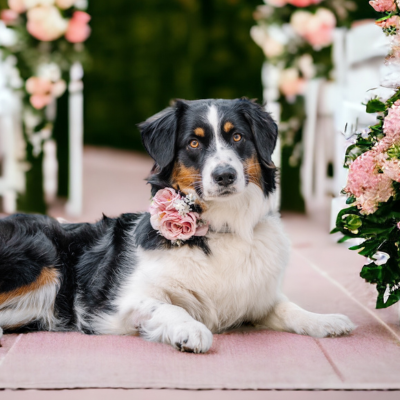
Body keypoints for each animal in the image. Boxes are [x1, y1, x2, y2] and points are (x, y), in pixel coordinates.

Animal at [0, 98, 356, 352]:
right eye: (194, 143)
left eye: (237, 136)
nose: (225, 175)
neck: (221, 228)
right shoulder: (122, 301)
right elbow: (169, 307)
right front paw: (192, 330)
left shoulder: (256, 297)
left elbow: (288, 307)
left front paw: (324, 320)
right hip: (43, 261)